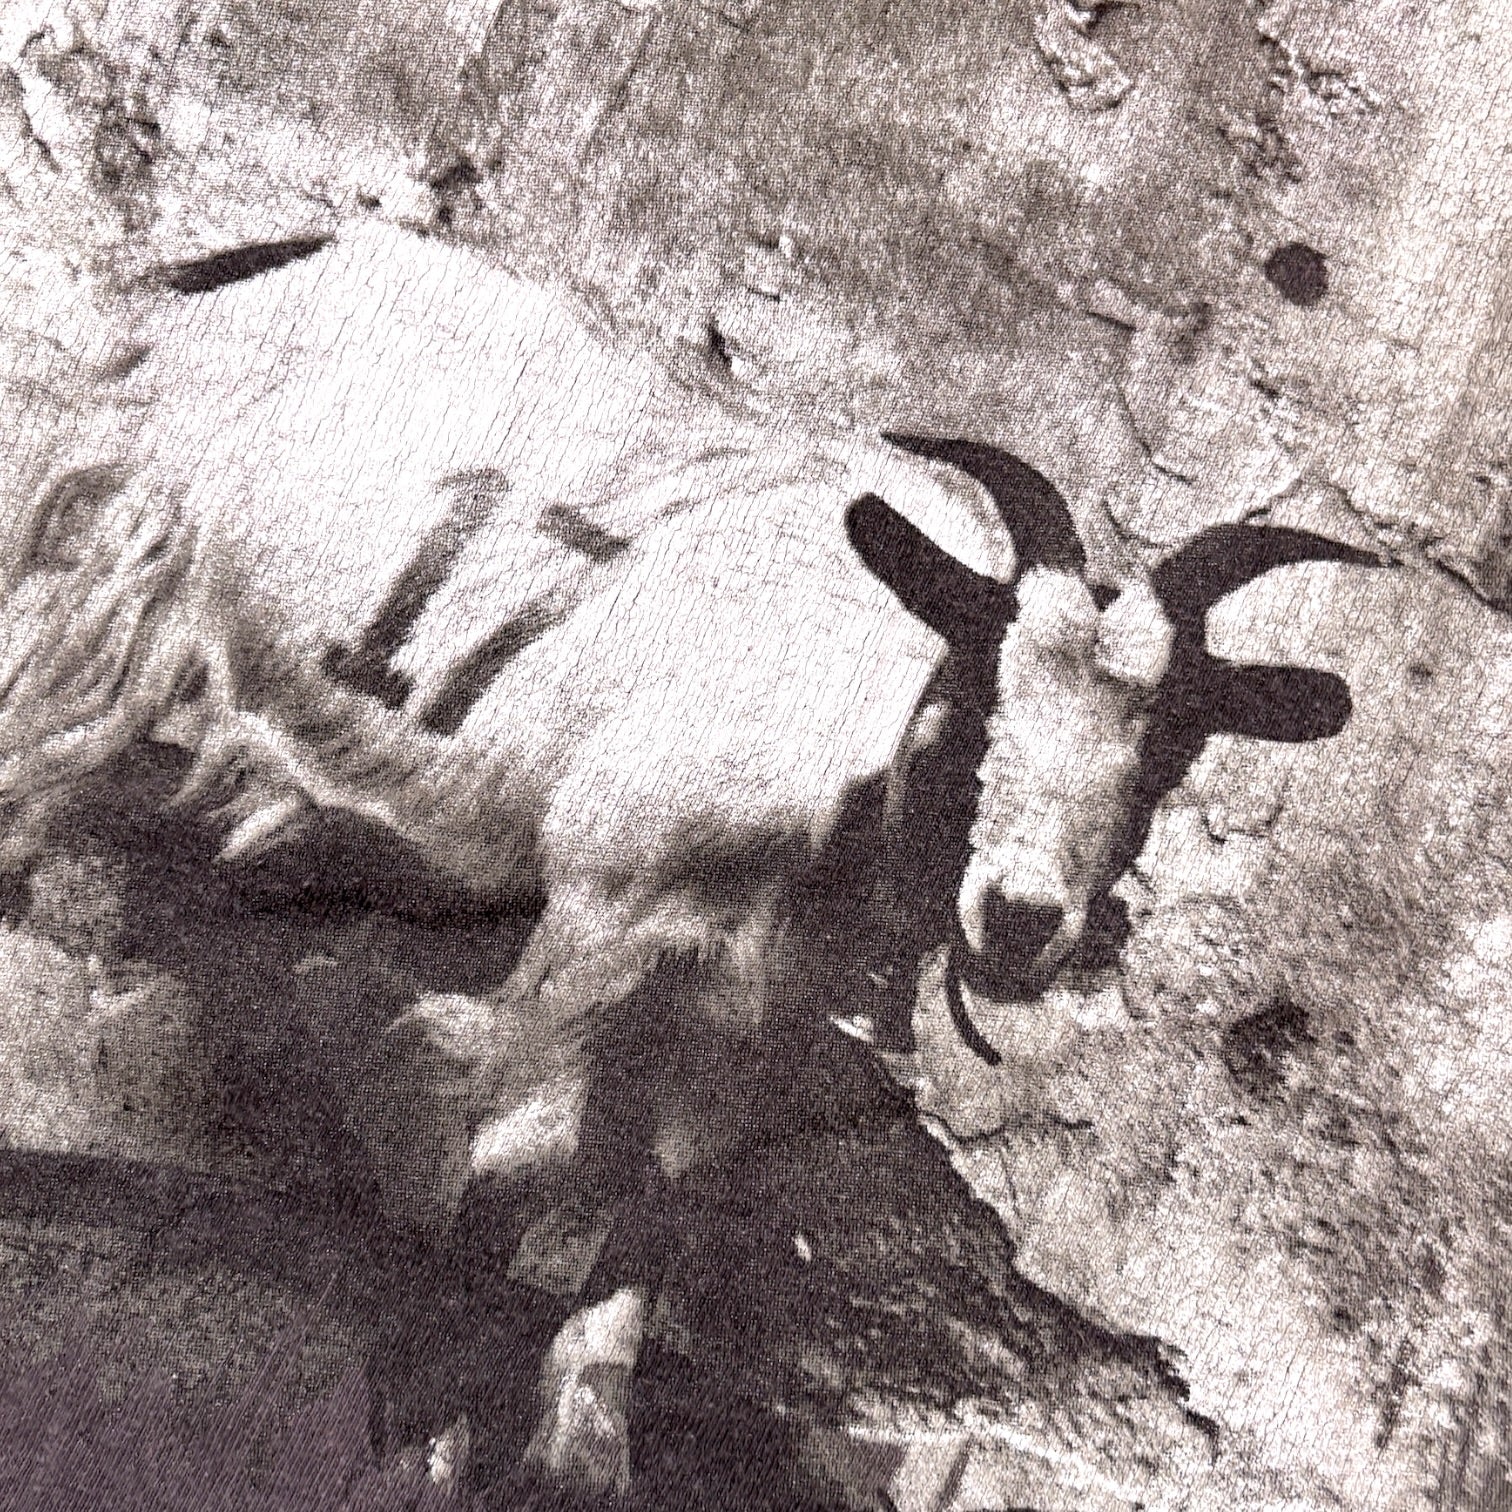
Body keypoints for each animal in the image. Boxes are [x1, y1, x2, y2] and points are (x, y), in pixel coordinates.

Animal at [0, 219, 1387, 1498]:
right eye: (978, 690)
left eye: (1169, 749)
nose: (1021, 918)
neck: (852, 734)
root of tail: (253, 260)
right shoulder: (604, 910)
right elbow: (513, 1138)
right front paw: (435, 1426)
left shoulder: (739, 1018)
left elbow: (651, 1209)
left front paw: (578, 1450)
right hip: (113, 584)